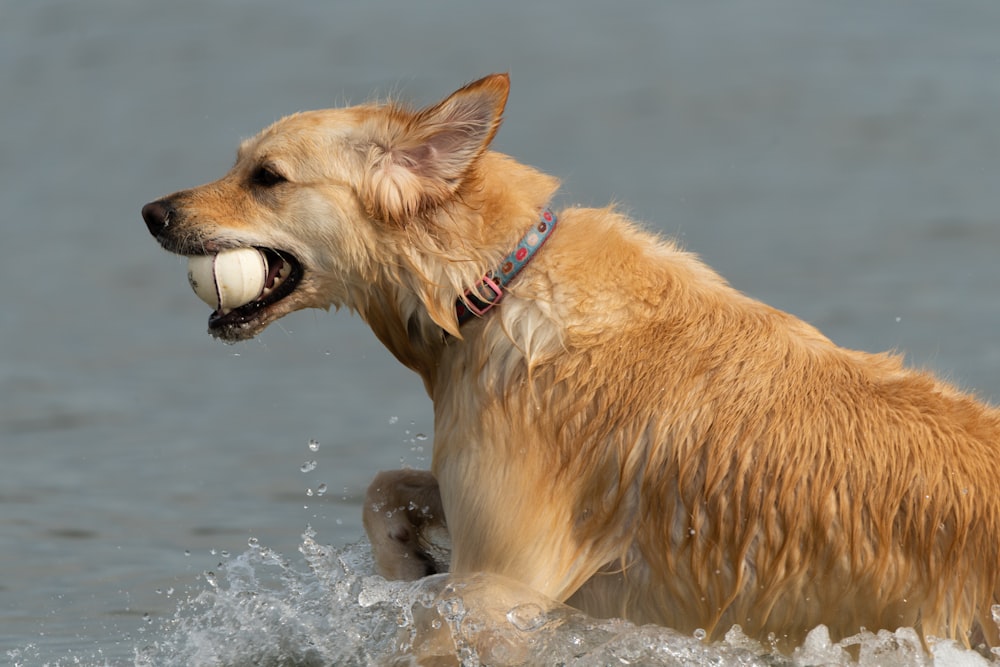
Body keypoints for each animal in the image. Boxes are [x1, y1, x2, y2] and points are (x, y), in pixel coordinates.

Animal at [143, 74, 1000, 656]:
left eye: (267, 178)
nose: (152, 212)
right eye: (240, 164)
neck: (495, 285)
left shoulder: (501, 584)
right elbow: (385, 489)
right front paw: (406, 560)